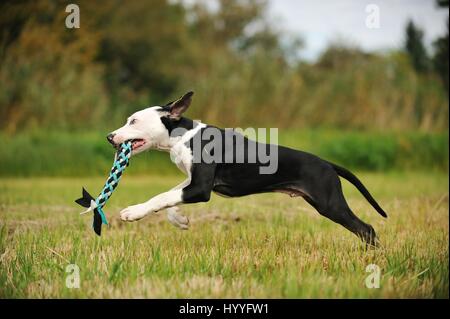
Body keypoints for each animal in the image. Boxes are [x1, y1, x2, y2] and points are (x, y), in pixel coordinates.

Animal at [108, 91, 386, 246]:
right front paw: (179, 219)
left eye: (134, 121)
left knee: (366, 229)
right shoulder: (193, 182)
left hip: (330, 204)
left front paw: (133, 212)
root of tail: (328, 164)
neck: (183, 135)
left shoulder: (200, 188)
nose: (109, 137)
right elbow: (168, 195)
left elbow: (161, 196)